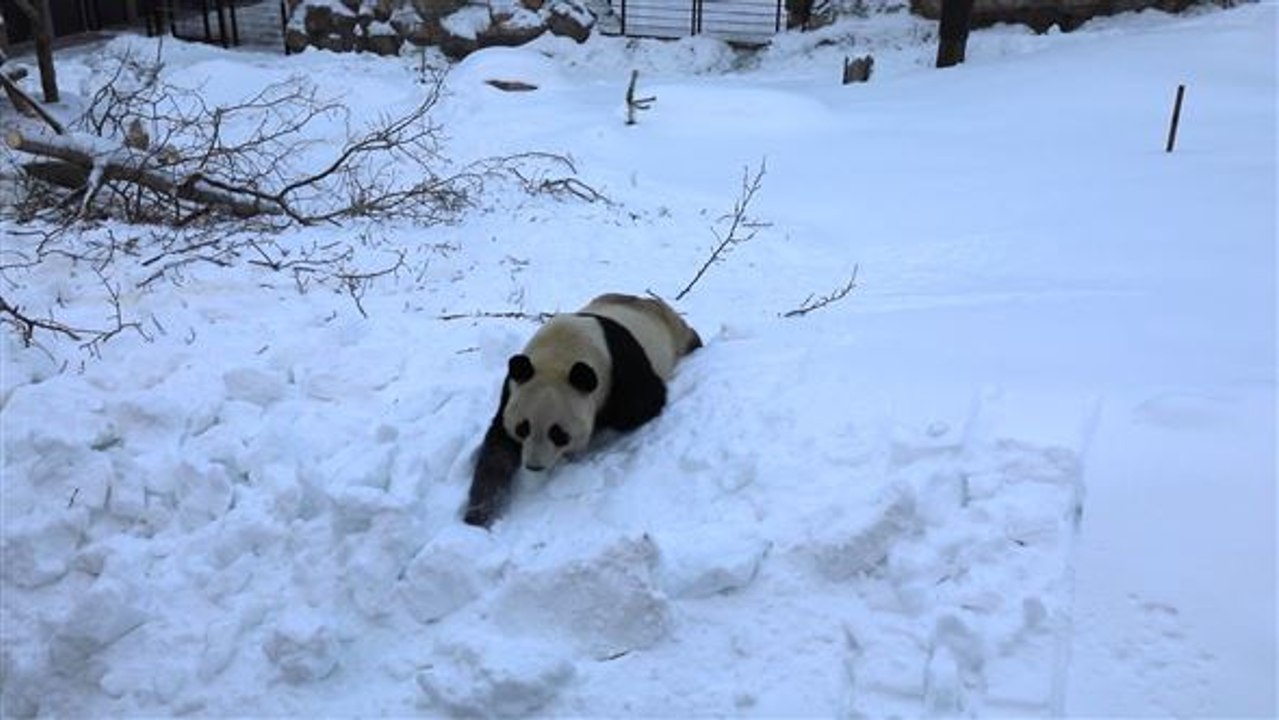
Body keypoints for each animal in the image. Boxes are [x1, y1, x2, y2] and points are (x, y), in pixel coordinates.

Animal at [463, 293, 702, 527]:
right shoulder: (513, 387)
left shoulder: (622, 368)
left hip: (672, 330)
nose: (534, 466)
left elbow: (644, 404)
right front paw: (479, 512)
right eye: (523, 428)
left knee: (689, 337)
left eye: (558, 433)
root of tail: (645, 299)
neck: (560, 355)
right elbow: (498, 445)